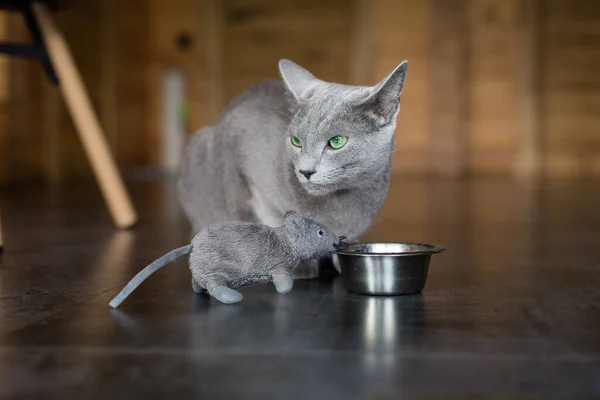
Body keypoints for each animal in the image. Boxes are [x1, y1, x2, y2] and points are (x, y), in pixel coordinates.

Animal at [108, 209, 342, 306]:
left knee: (196, 282)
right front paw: (286, 290)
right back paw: (233, 297)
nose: (338, 241)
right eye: (321, 232)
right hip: (216, 272)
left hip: (201, 269)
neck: (287, 238)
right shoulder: (280, 267)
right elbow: (284, 281)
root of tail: (193, 245)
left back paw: (199, 290)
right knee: (214, 287)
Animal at [176, 57, 406, 276]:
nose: (305, 171)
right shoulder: (241, 153)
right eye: (296, 141)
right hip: (200, 146)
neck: (340, 202)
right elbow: (256, 216)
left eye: (337, 141)